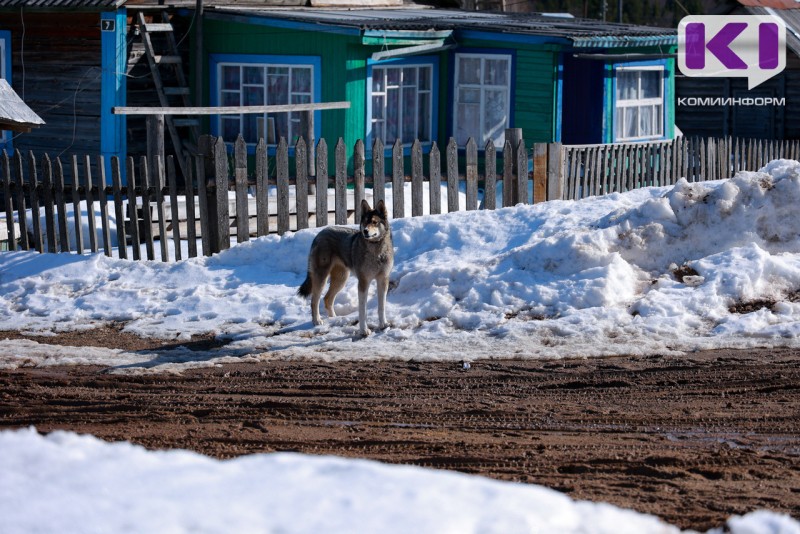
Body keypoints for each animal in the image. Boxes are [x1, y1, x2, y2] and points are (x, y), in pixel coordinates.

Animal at [296, 199, 394, 338]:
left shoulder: (383, 280)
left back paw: (334, 318)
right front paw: (364, 331)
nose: (365, 231)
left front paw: (384, 325)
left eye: (375, 222)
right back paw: (317, 321)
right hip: (322, 278)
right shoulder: (363, 282)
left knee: (327, 299)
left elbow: (382, 307)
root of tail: (320, 233)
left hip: (341, 280)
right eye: (365, 222)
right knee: (314, 301)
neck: (376, 251)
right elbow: (363, 310)